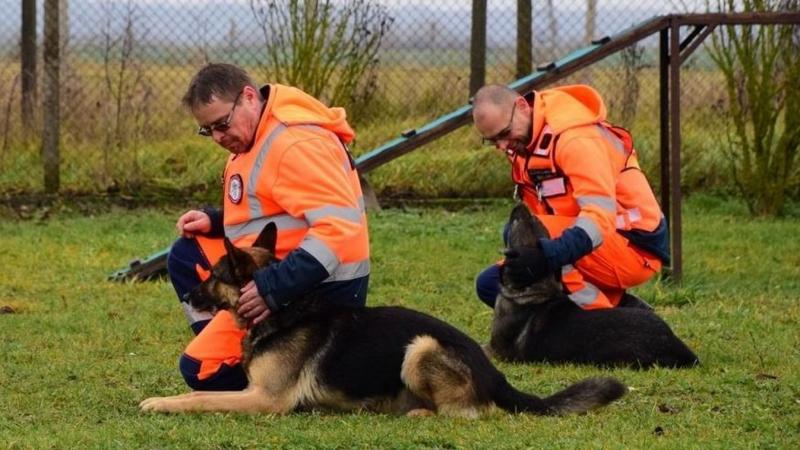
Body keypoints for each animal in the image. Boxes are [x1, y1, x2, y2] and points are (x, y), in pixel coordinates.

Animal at [141, 223, 628, 416]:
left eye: (213, 275)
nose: (188, 295)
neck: (281, 310)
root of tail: (496, 373)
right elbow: (197, 392)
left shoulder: (265, 399)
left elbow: (199, 400)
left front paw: (160, 402)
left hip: (421, 346)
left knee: (467, 412)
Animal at [488, 204, 700, 370]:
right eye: (534, 222)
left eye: (517, 223)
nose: (521, 205)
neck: (539, 287)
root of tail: (676, 346)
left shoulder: (496, 351)